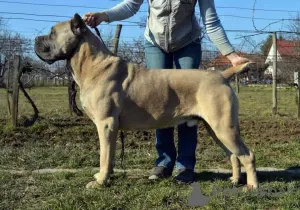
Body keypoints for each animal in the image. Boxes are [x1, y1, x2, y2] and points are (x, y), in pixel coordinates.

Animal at [33, 13, 258, 189]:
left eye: (52, 33)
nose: (35, 39)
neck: (91, 63)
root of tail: (221, 75)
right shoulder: (111, 128)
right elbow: (110, 155)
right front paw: (105, 177)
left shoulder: (105, 124)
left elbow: (104, 155)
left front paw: (100, 182)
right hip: (215, 128)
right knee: (233, 155)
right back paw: (235, 180)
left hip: (224, 127)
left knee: (247, 155)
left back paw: (251, 186)